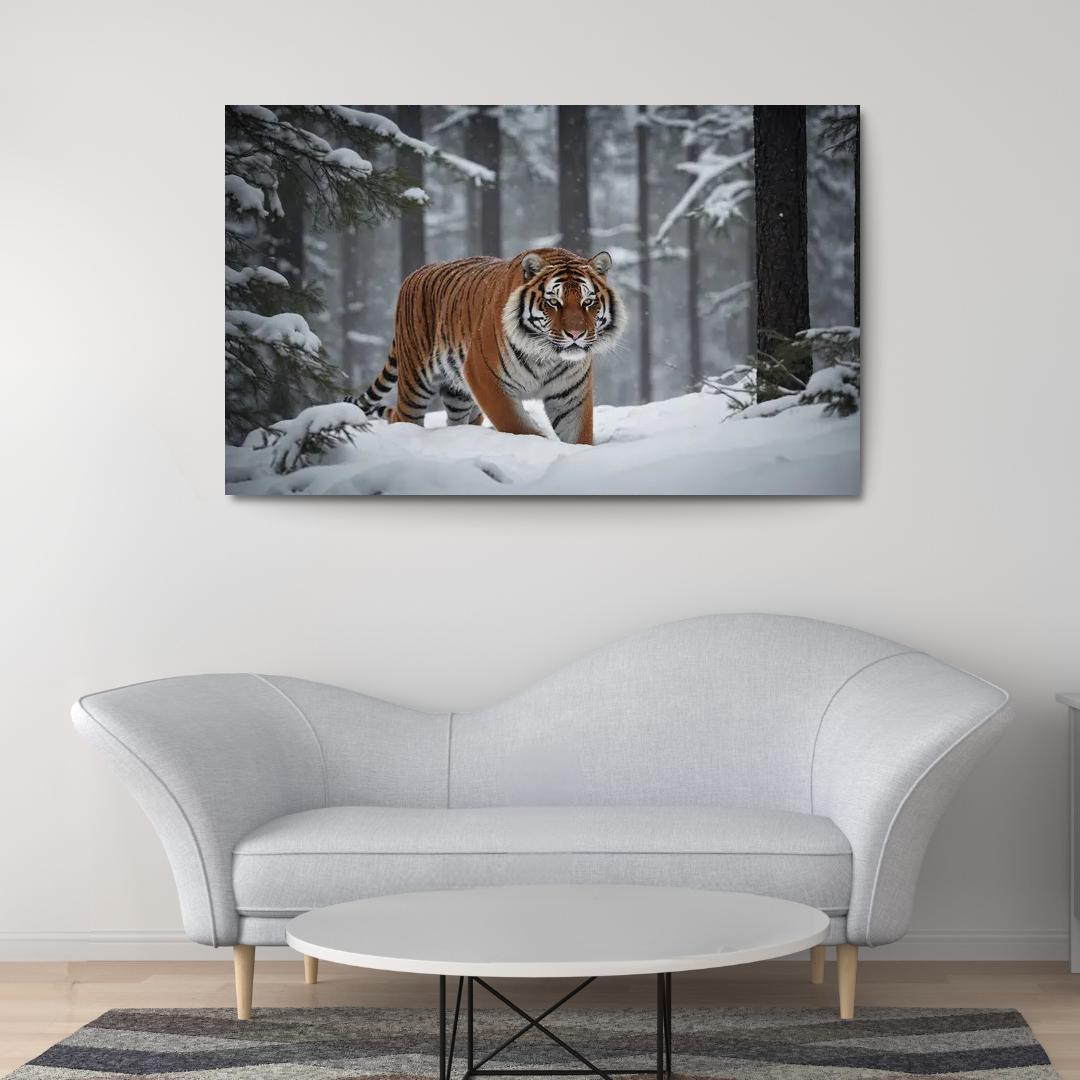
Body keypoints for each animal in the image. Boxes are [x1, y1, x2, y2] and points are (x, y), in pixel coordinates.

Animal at [345, 247, 623, 445]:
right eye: (553, 302)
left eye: (588, 302)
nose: (576, 334)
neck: (546, 356)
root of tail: (414, 273)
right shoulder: (485, 378)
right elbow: (518, 427)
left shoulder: (571, 395)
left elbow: (579, 435)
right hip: (415, 381)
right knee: (403, 416)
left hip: (459, 394)